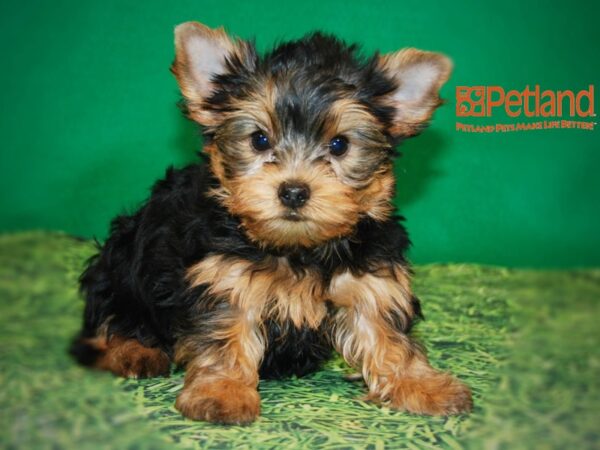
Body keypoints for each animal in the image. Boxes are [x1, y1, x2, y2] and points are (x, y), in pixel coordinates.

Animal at [71, 20, 474, 422]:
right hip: (122, 261)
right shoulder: (225, 277)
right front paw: (222, 391)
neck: (299, 249)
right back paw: (133, 350)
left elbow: (385, 332)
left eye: (339, 145)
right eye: (260, 140)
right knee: (113, 313)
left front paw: (422, 384)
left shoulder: (370, 278)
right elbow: (226, 332)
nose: (293, 191)